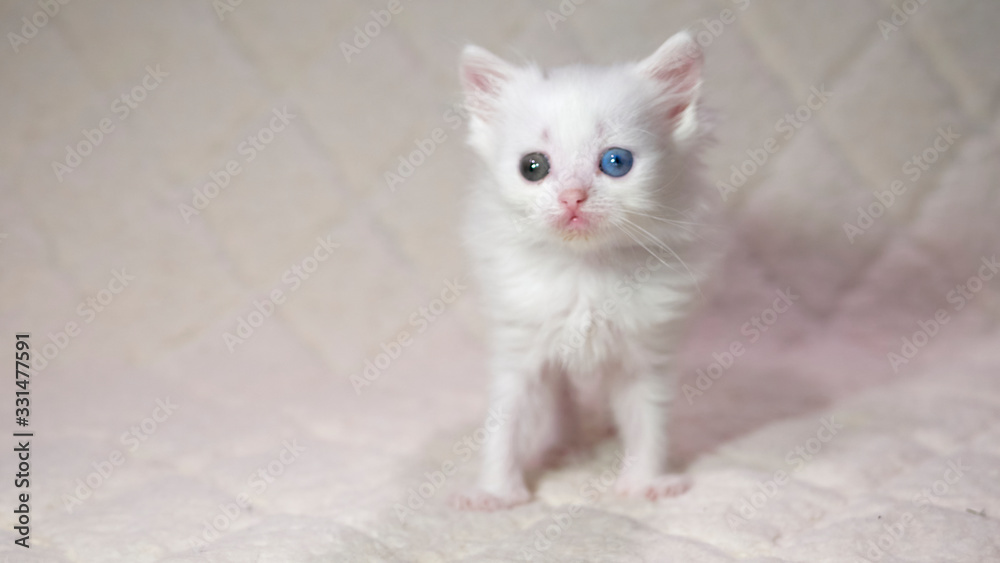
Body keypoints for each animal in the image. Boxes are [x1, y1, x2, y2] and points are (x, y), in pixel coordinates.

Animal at [454, 33, 712, 512]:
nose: (572, 196)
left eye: (616, 162)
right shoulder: (518, 344)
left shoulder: (647, 351)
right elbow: (505, 425)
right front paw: (495, 493)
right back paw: (567, 444)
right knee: (561, 396)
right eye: (532, 167)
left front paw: (646, 484)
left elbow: (648, 421)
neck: (585, 270)